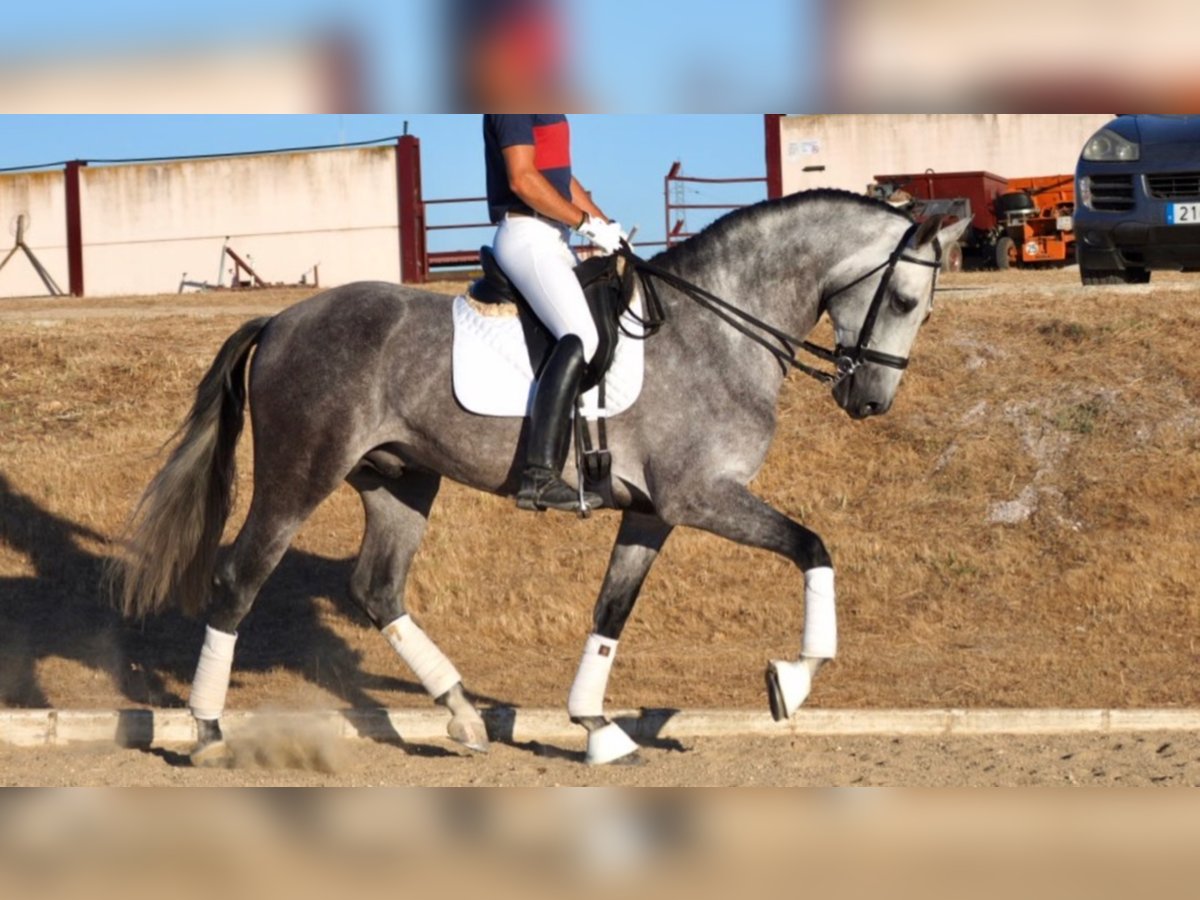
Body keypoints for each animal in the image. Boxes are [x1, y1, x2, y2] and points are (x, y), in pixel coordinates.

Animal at [117, 190, 969, 768]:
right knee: (239, 578)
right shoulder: (702, 497)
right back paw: (206, 731)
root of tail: (283, 320)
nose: (870, 400)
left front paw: (597, 728)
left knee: (377, 588)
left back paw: (461, 716)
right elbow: (813, 548)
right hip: (300, 475)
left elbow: (612, 610)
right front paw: (793, 680)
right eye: (903, 298)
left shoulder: (655, 512)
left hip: (401, 481)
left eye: (923, 310)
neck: (720, 328)